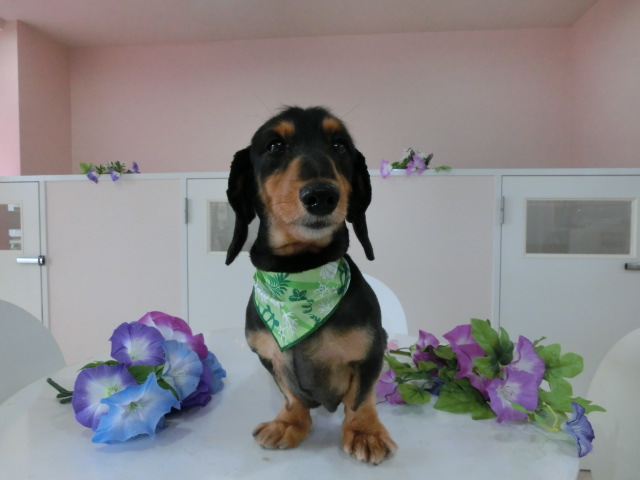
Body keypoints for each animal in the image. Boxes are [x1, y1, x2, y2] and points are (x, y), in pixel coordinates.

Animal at [225, 106, 397, 464]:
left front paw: (365, 431)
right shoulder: (269, 357)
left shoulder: (372, 350)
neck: (298, 272)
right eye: (275, 146)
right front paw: (290, 422)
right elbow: (291, 394)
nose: (321, 196)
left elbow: (360, 396)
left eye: (340, 146)